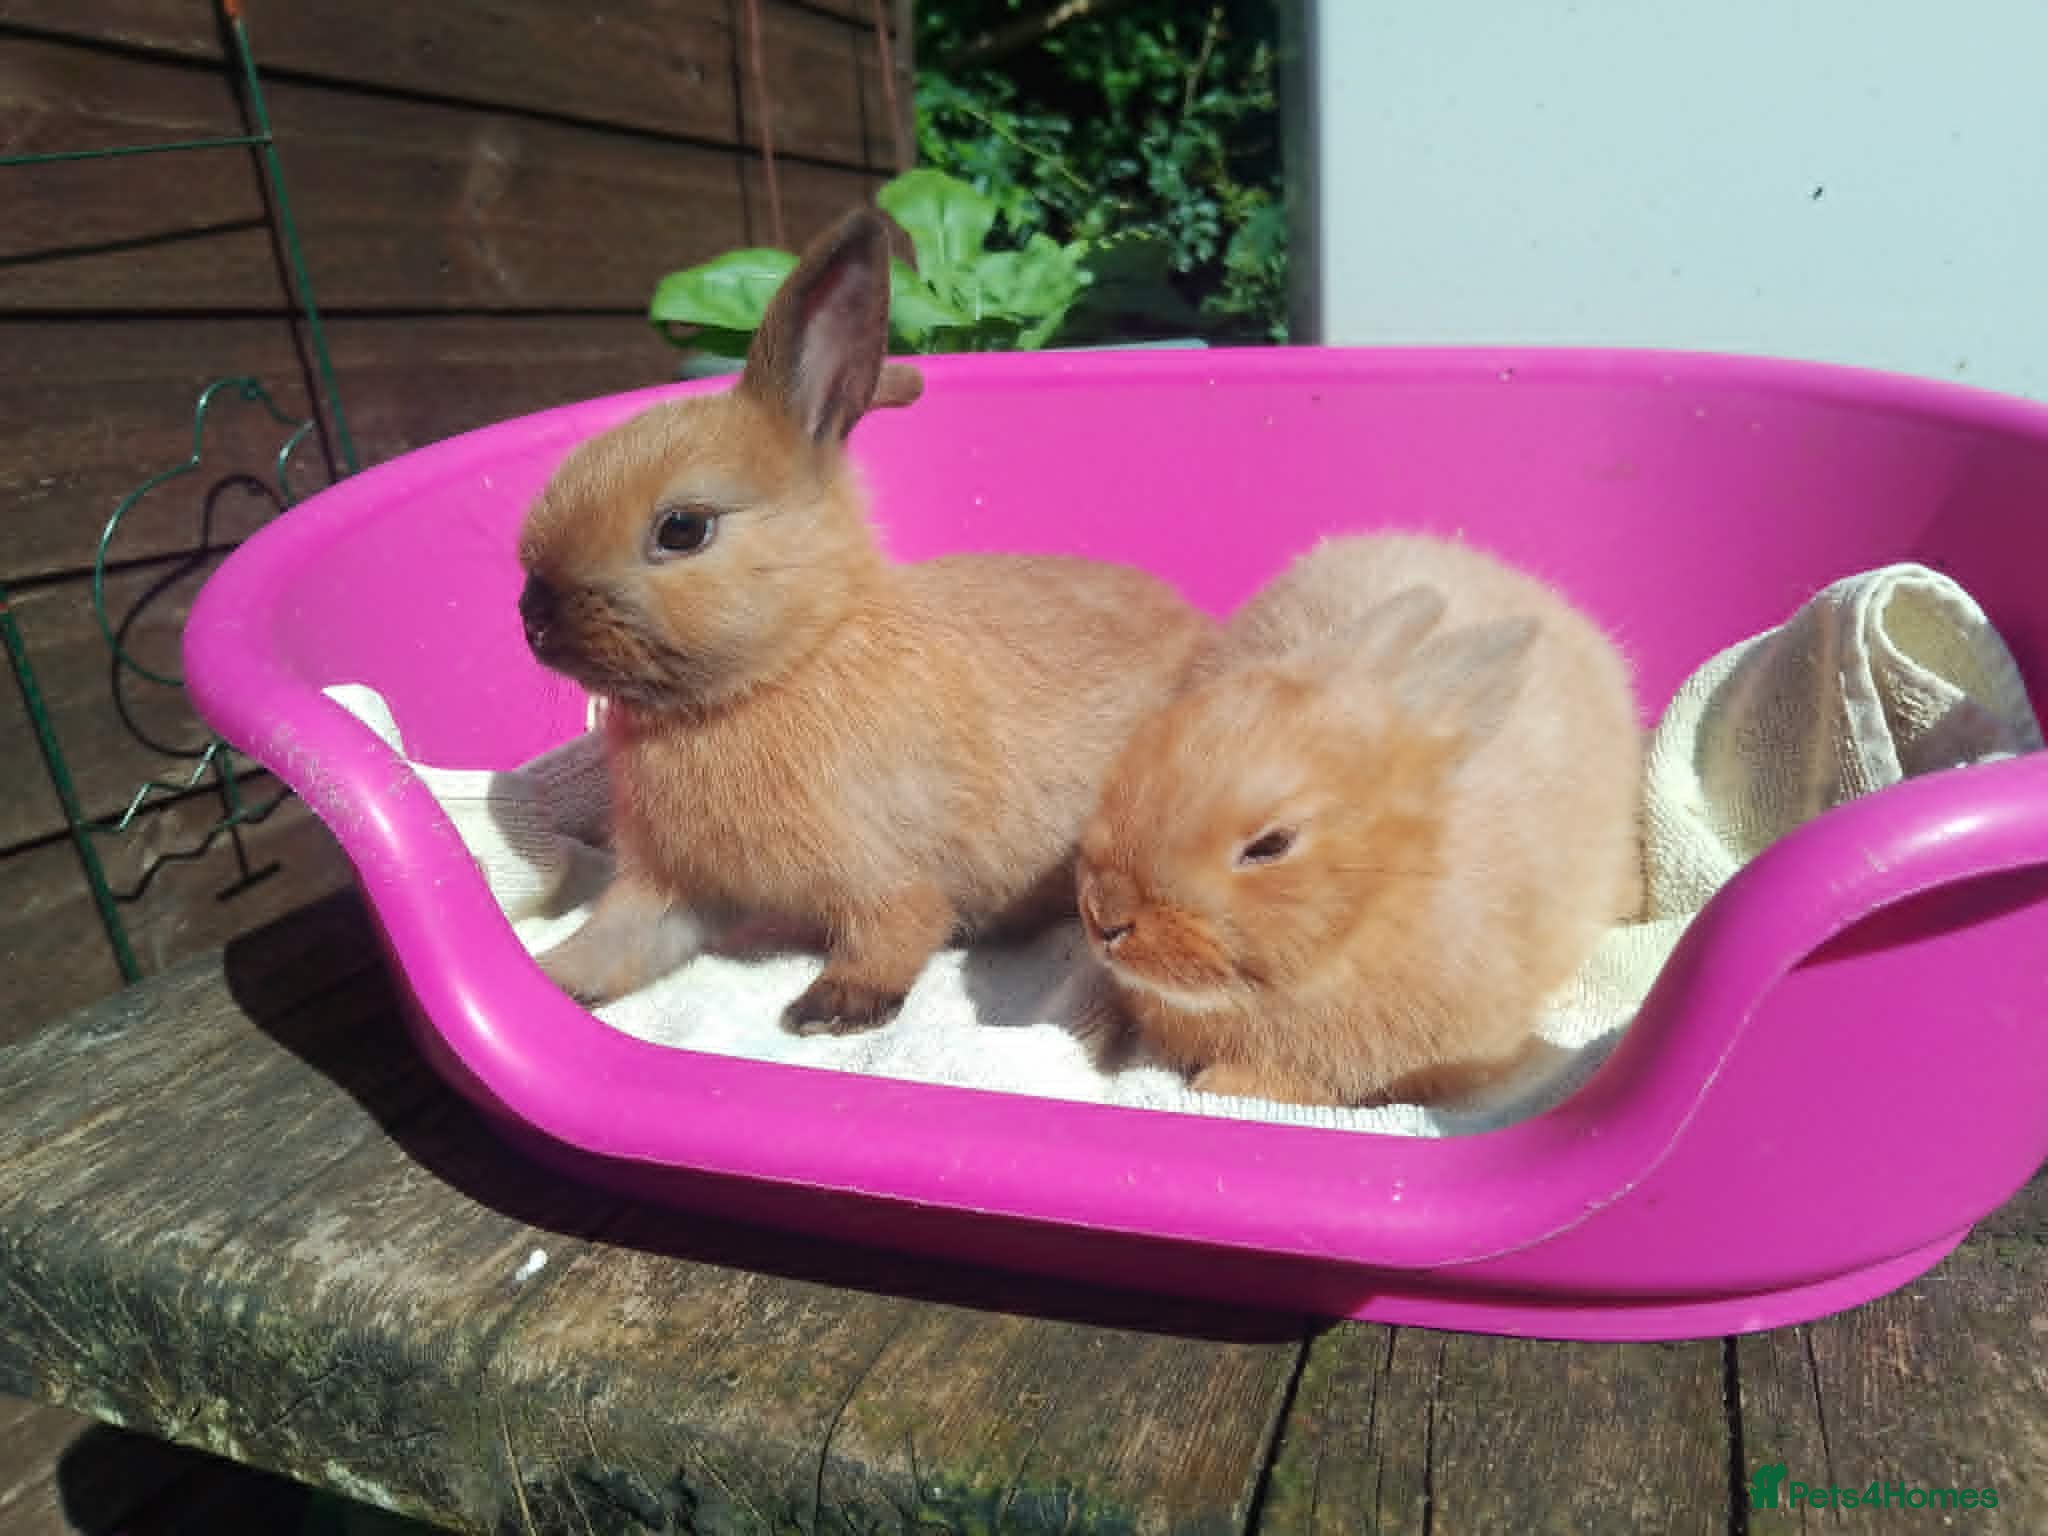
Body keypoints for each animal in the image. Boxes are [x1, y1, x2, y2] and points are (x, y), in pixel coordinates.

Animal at [515, 204, 1215, 1035]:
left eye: (683, 529)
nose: (531, 618)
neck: (784, 667)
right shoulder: (670, 887)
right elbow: (618, 941)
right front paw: (551, 977)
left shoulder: (882, 872)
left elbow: (900, 925)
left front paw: (830, 1008)